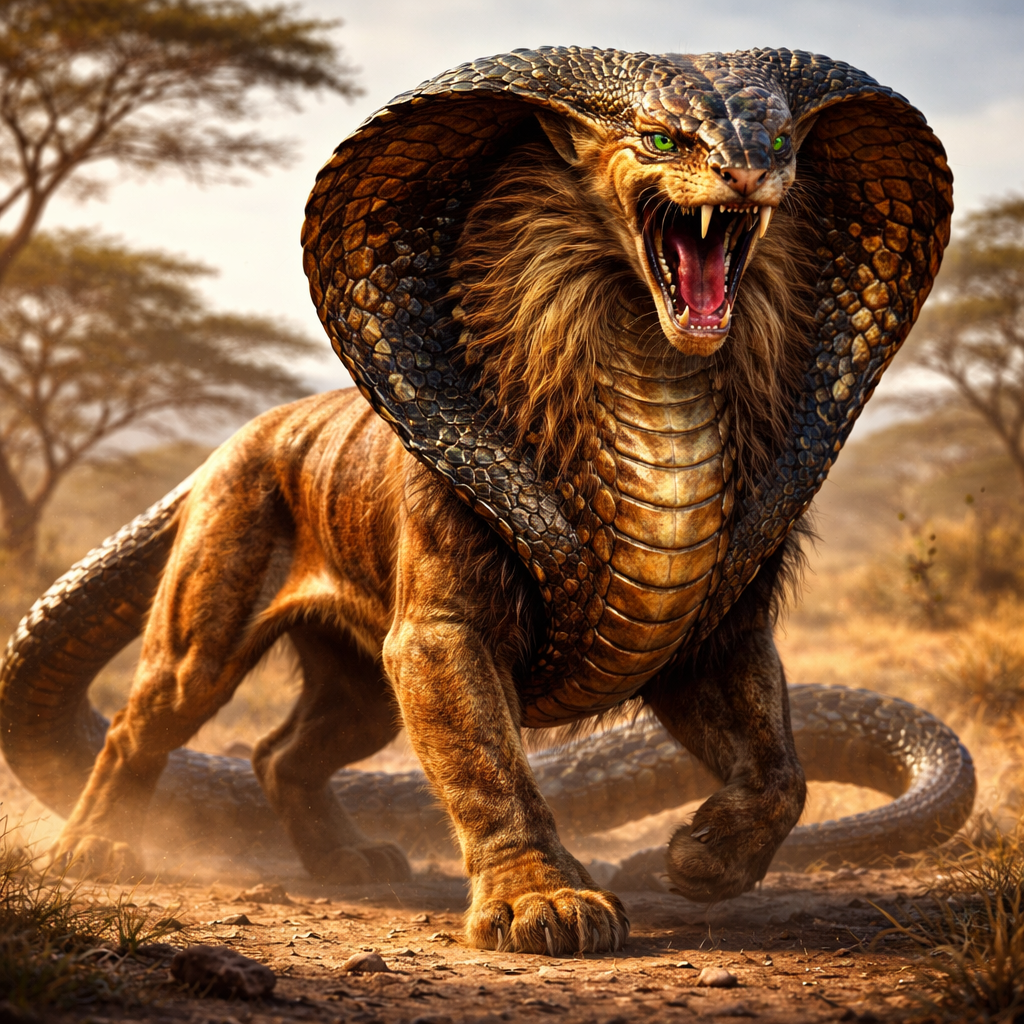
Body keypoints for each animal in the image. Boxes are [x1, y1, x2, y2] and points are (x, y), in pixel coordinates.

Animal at [0, 48, 951, 956]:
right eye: (662, 140)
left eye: (784, 141)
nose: (750, 173)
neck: (642, 350)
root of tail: (245, 432)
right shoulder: (439, 629)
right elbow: (490, 768)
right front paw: (546, 904)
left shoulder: (713, 630)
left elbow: (780, 771)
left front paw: (699, 860)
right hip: (208, 617)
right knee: (141, 723)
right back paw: (95, 847)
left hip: (357, 685)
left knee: (281, 753)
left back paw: (349, 860)